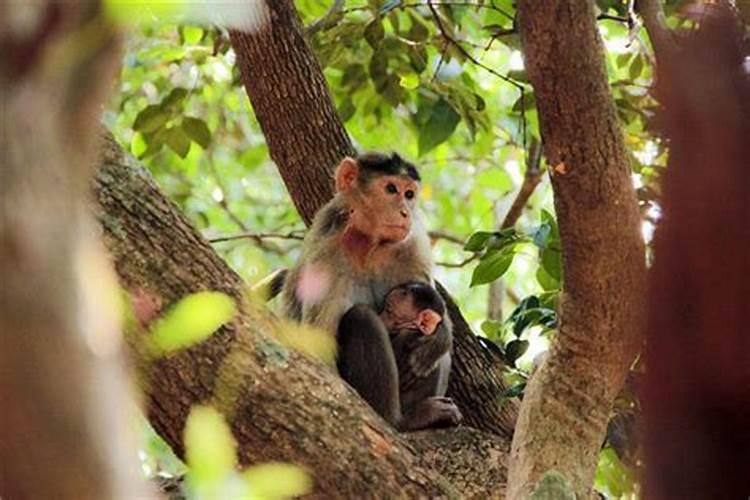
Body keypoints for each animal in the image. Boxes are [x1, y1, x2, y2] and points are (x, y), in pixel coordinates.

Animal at [280, 152, 462, 430]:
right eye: (391, 189)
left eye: (409, 194)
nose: (405, 212)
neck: (366, 246)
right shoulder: (324, 259)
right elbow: (319, 349)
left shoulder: (413, 245)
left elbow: (434, 307)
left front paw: (436, 340)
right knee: (361, 317)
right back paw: (401, 421)